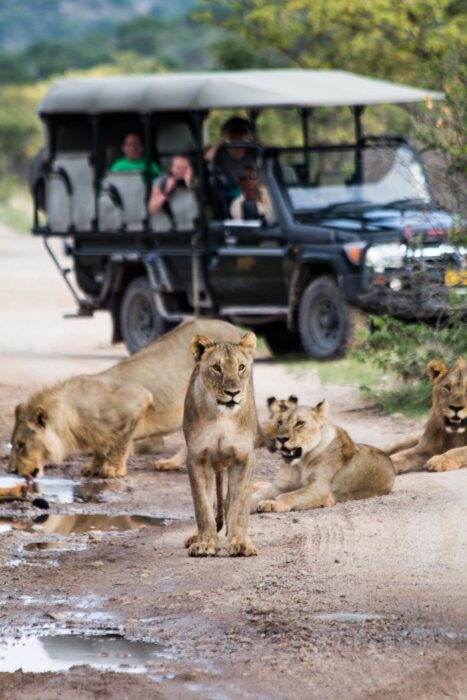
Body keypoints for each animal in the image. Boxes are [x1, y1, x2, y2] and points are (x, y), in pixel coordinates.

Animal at [9, 318, 243, 478]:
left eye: (20, 444)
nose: (11, 471)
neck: (72, 416)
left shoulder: (138, 398)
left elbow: (120, 441)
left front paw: (112, 471)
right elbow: (101, 445)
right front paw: (93, 467)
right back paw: (172, 463)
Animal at [183, 330, 258, 556]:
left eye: (241, 367)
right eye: (216, 367)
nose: (233, 393)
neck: (221, 417)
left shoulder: (243, 457)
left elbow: (239, 504)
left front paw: (240, 542)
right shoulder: (197, 458)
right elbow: (202, 505)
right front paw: (206, 543)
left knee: (228, 500)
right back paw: (195, 536)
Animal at [252, 400, 394, 516]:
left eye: (299, 423)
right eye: (279, 422)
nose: (281, 439)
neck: (301, 463)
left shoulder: (320, 488)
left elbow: (290, 495)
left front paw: (271, 504)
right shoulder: (280, 485)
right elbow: (256, 495)